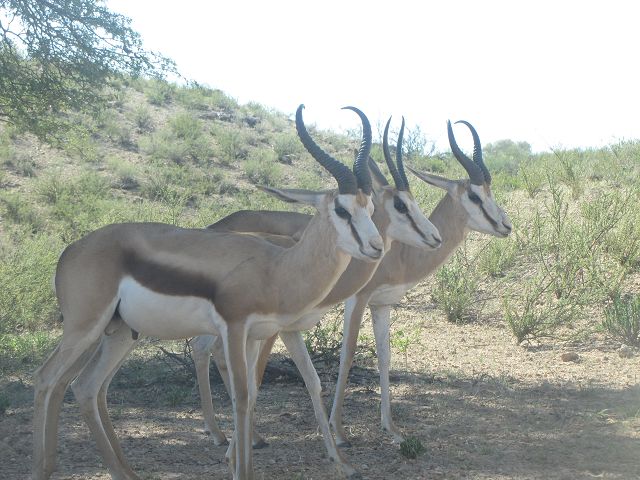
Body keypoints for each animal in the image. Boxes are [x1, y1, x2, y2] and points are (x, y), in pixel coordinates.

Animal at [35, 105, 384, 480]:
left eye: (371, 209)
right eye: (342, 209)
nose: (377, 247)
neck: (276, 268)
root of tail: (71, 250)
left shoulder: (256, 335)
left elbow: (254, 394)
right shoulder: (233, 329)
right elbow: (241, 397)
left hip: (119, 334)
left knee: (84, 387)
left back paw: (123, 472)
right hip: (84, 329)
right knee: (45, 379)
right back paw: (43, 468)